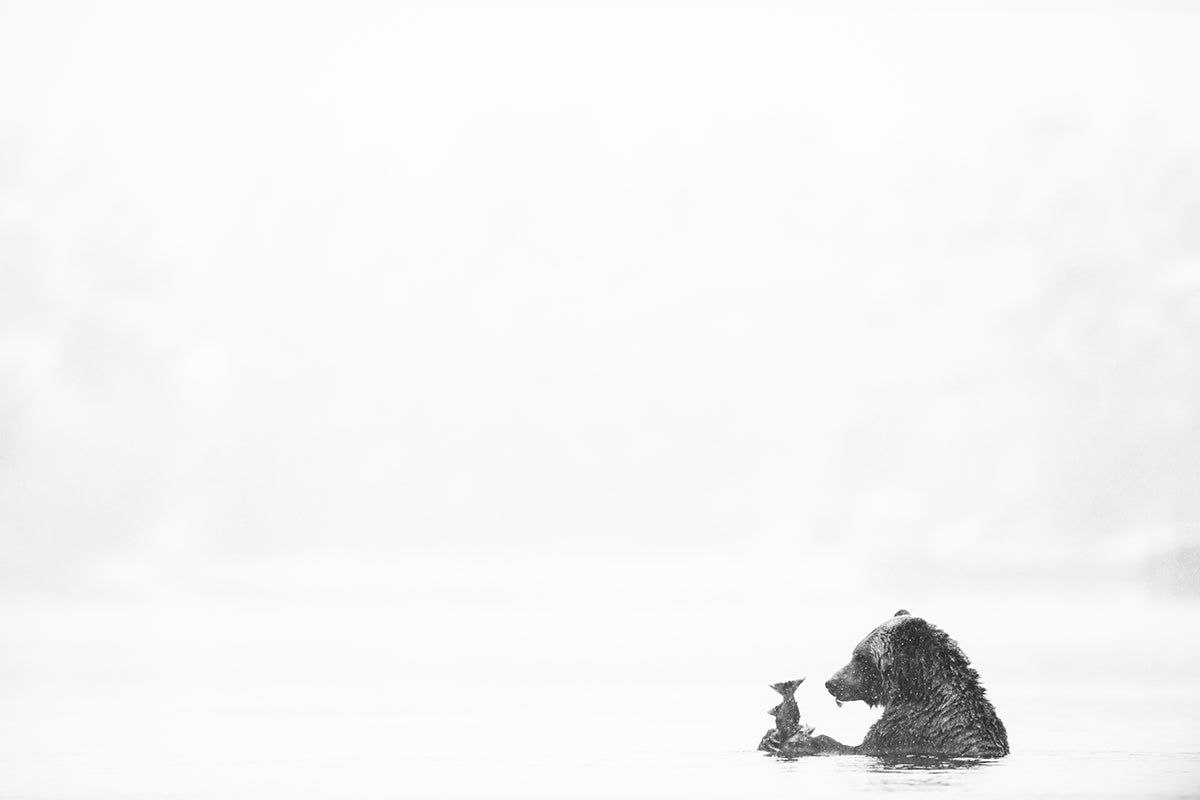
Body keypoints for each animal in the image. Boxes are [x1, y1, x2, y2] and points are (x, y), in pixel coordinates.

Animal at [809, 610, 1009, 758]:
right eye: (855, 653)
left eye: (861, 657)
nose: (831, 683)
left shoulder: (909, 730)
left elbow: (857, 748)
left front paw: (811, 740)